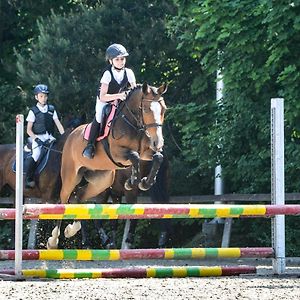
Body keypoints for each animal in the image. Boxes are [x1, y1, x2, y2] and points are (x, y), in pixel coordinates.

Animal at [47, 81, 168, 248]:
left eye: (164, 109)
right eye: (145, 109)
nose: (158, 142)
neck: (134, 123)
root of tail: (71, 135)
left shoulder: (146, 153)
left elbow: (158, 157)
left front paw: (144, 182)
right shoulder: (118, 153)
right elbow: (134, 156)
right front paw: (132, 182)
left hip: (101, 181)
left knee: (79, 196)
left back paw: (72, 229)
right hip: (71, 176)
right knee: (64, 200)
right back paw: (54, 240)